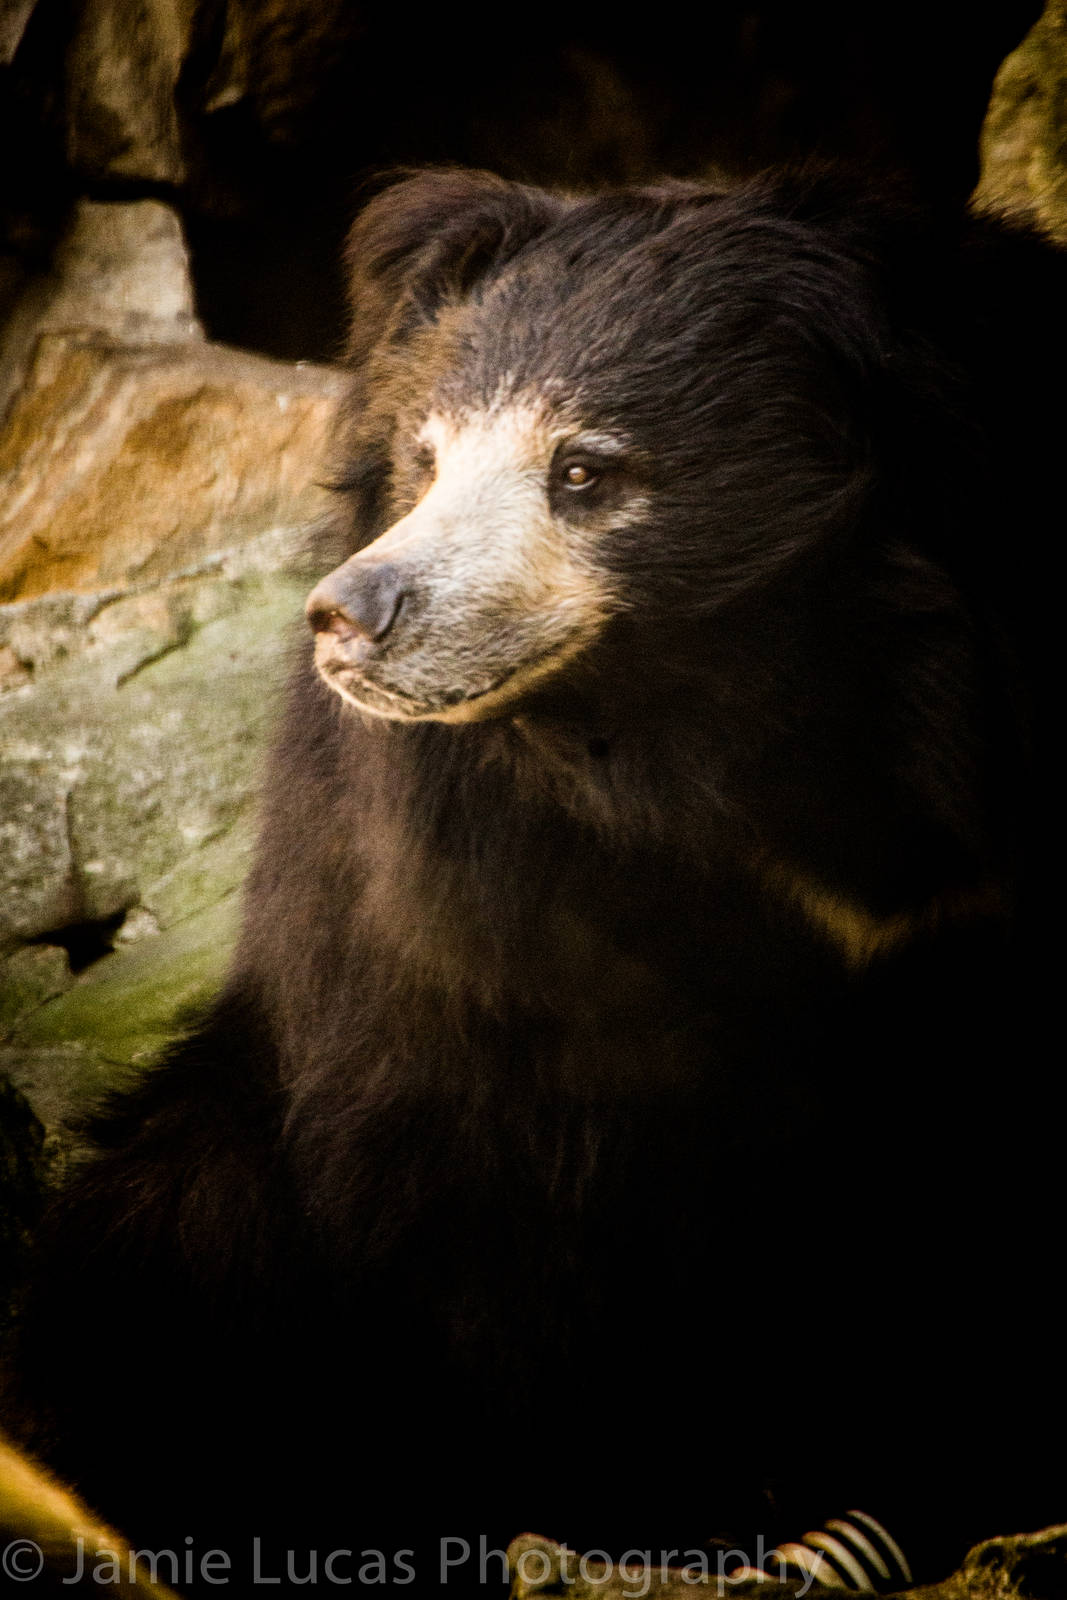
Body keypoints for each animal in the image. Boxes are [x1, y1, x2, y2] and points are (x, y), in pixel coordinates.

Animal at [7, 166, 1065, 1595]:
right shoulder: (461, 883)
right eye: (425, 458)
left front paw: (884, 1497)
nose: (350, 614)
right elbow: (505, 1156)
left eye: (583, 470)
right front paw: (639, 1515)